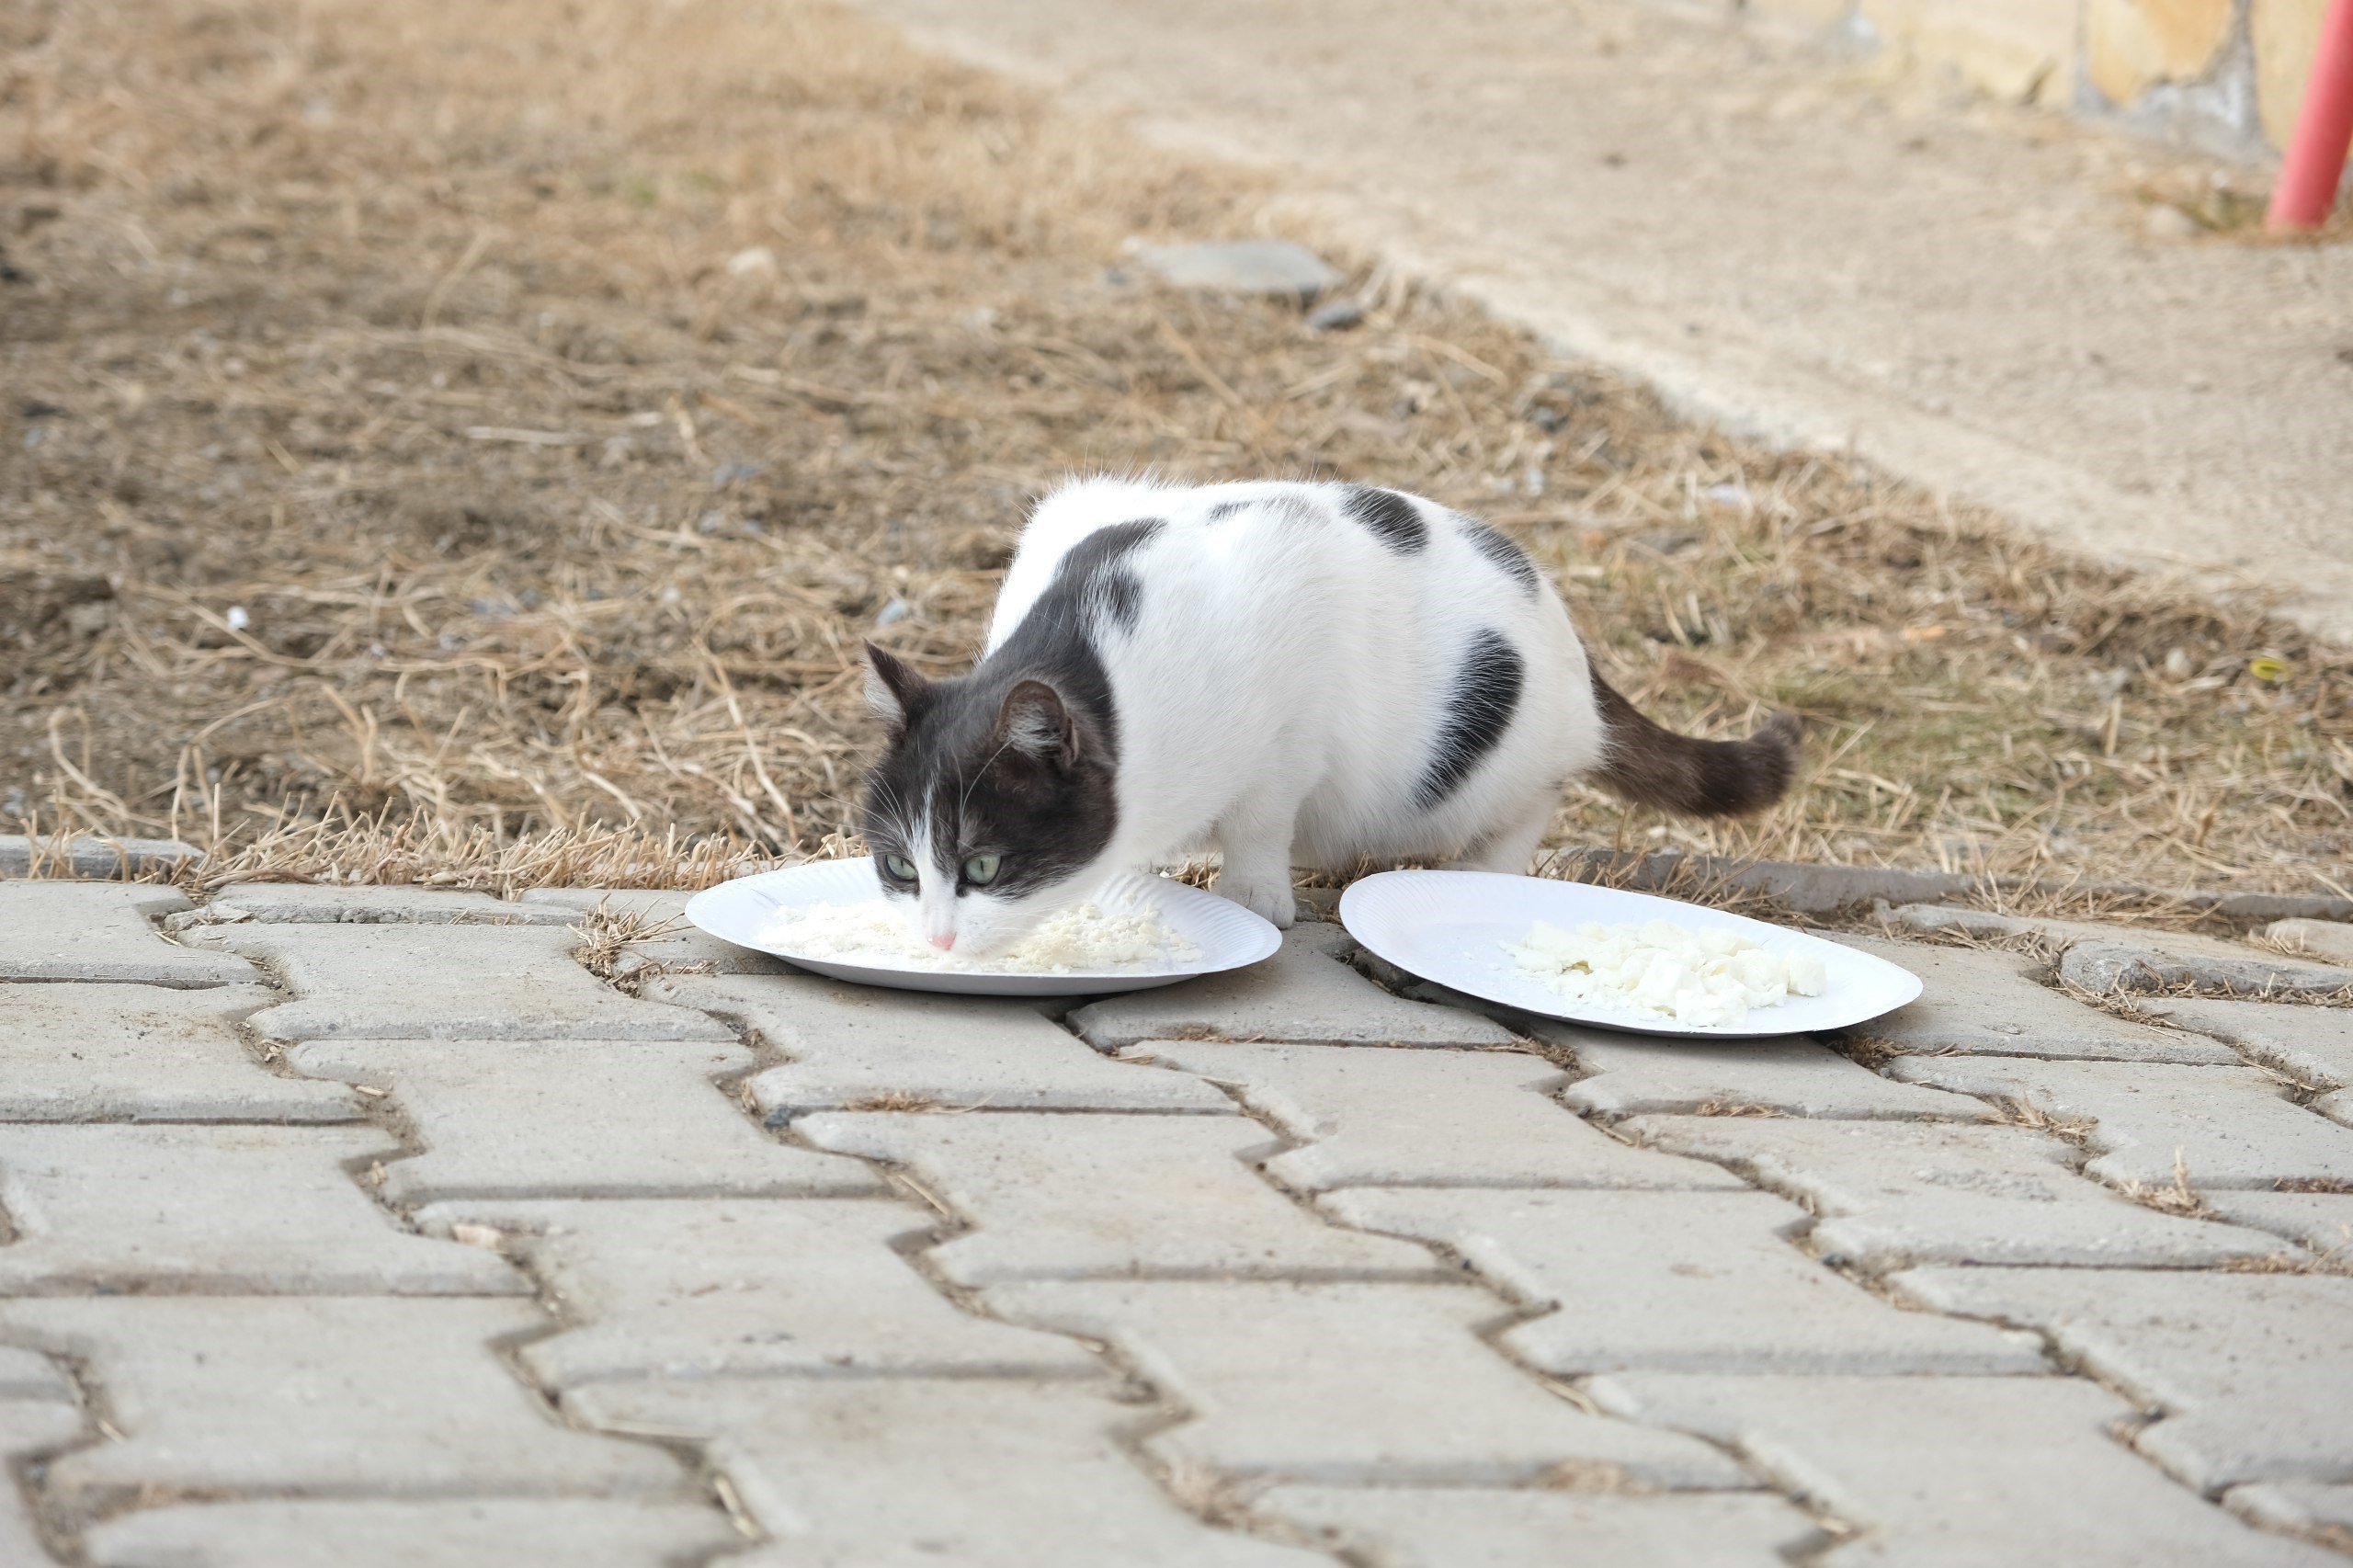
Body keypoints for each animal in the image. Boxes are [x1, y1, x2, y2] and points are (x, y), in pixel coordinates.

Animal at [866, 480, 1797, 950]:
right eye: (900, 869)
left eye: (983, 867)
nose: (936, 941)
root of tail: (1570, 641)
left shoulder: (1294, 673)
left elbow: (1262, 814)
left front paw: (1253, 894)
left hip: (1507, 755)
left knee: (1524, 811)